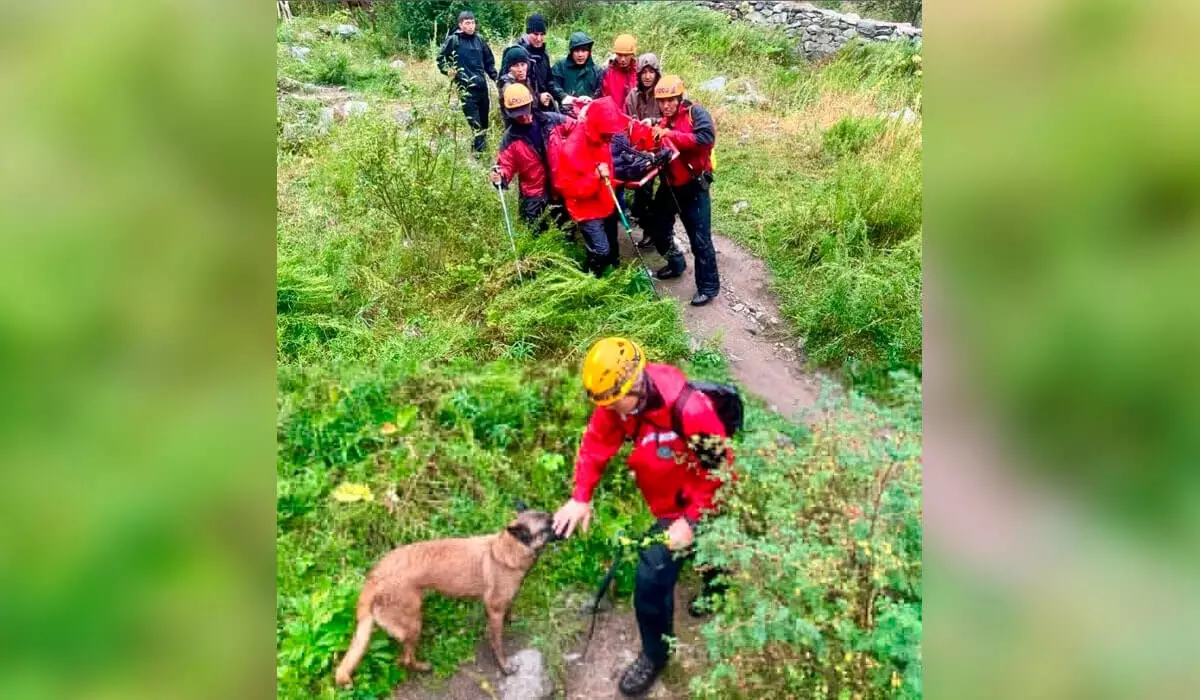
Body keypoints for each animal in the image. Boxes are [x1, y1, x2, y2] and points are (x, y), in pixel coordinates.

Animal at [336, 506, 559, 686]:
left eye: (551, 518)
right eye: (548, 527)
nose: (561, 524)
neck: (506, 550)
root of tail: (374, 577)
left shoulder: (504, 601)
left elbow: (510, 608)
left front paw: (511, 619)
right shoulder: (494, 610)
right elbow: (497, 644)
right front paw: (504, 667)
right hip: (413, 623)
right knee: (404, 659)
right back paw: (423, 667)